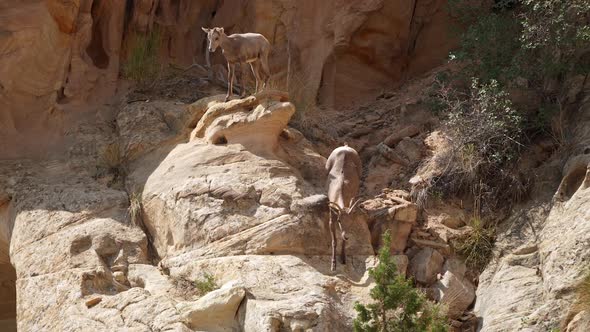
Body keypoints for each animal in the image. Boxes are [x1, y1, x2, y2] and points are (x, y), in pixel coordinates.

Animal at [326, 144, 364, 272]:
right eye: (339, 220)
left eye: (352, 221)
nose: (347, 236)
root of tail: (345, 146)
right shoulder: (331, 217)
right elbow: (334, 241)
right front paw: (333, 265)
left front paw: (343, 259)